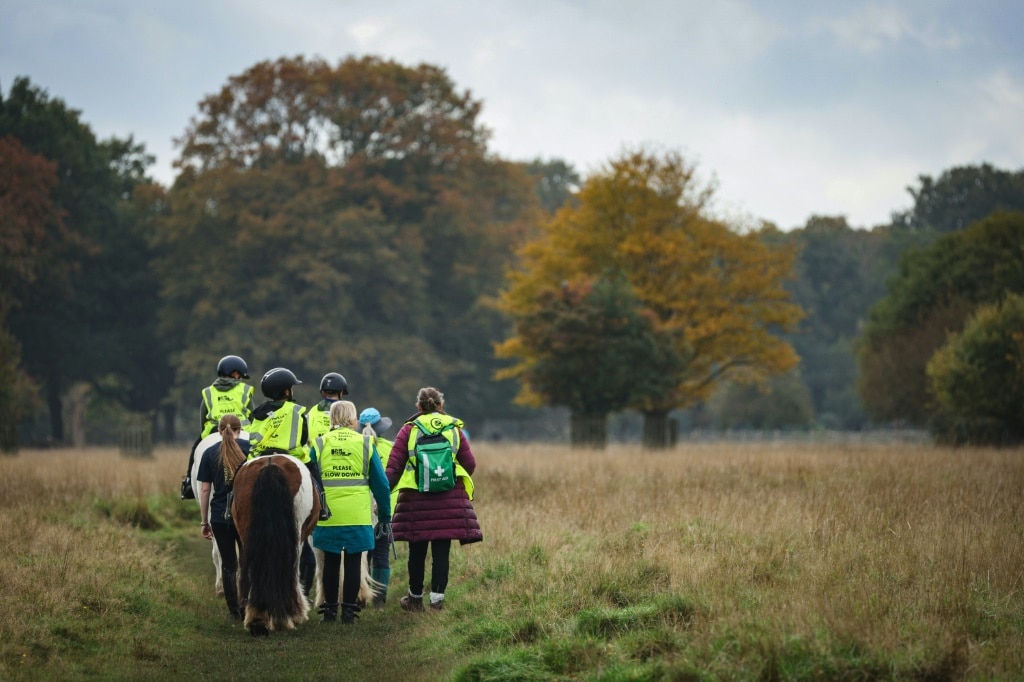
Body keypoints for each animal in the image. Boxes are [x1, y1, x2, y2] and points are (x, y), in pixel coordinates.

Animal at [231, 450, 319, 630]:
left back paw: (255, 615)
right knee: (291, 569)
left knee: (247, 566)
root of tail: (271, 465)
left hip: (247, 532)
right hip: (296, 535)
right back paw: (288, 616)